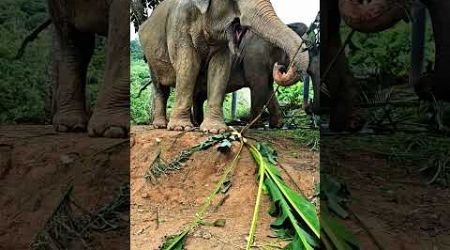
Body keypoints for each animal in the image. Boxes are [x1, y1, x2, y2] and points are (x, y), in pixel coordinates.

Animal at [190, 22, 320, 128]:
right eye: (309, 50)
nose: (309, 106)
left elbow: (268, 88)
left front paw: (276, 125)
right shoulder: (255, 57)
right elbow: (259, 86)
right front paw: (252, 125)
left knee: (198, 98)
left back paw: (198, 123)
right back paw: (195, 124)